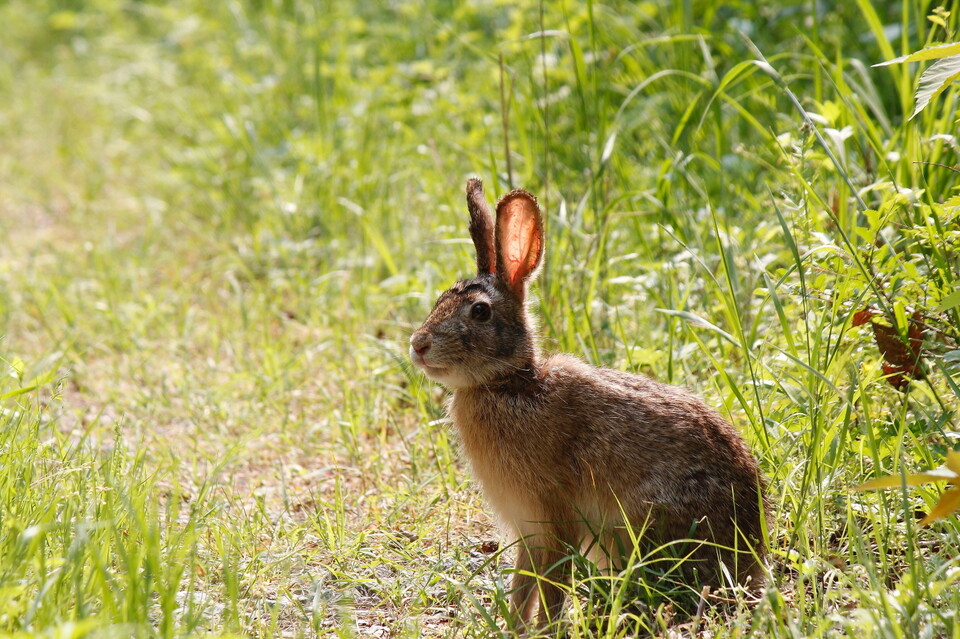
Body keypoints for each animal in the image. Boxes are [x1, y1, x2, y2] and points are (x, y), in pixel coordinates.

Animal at [408, 178, 768, 628]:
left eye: (479, 312)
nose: (418, 345)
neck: (508, 385)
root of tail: (752, 553)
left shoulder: (554, 517)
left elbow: (550, 585)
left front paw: (541, 630)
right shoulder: (528, 529)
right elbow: (523, 584)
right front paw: (513, 627)